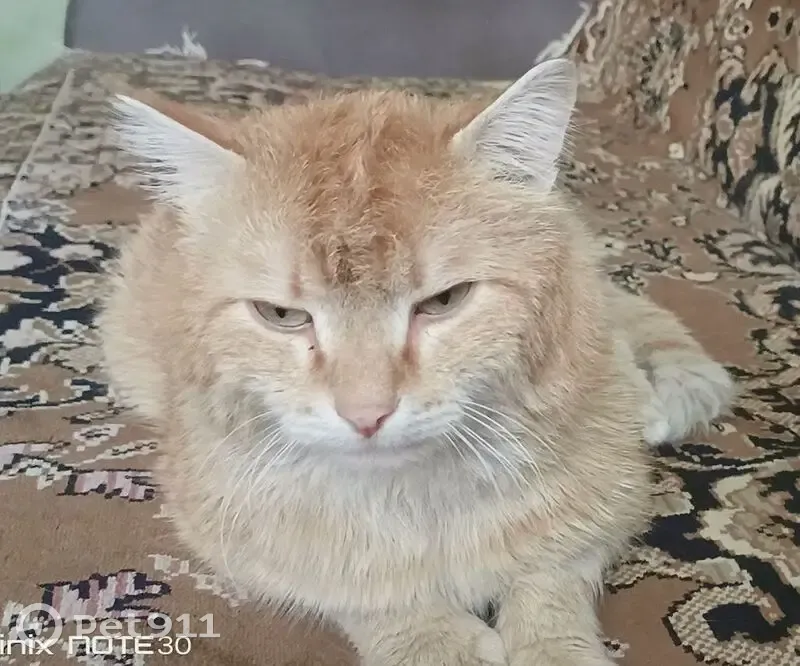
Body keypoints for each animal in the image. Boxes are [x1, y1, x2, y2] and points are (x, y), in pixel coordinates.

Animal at [98, 58, 733, 666]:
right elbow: (351, 584)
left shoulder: (604, 502)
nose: (367, 414)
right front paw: (432, 641)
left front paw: (554, 647)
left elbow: (552, 578)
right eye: (281, 314)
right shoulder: (229, 526)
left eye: (445, 302)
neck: (419, 501)